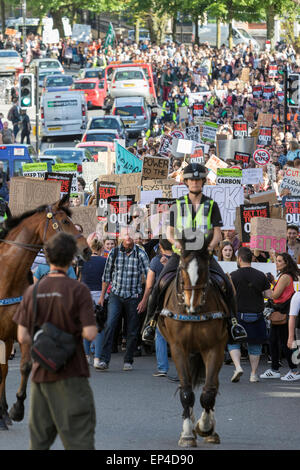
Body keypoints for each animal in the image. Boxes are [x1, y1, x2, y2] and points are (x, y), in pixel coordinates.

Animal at [0, 196, 91, 432]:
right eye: (65, 222)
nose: (87, 250)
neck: (7, 275)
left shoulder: (19, 331)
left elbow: (23, 367)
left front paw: (15, 409)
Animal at [158, 231, 229, 448]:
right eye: (182, 268)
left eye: (205, 269)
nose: (192, 305)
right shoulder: (178, 348)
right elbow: (186, 392)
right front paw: (188, 434)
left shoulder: (214, 348)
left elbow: (208, 393)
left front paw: (205, 427)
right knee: (188, 384)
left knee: (213, 385)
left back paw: (210, 429)